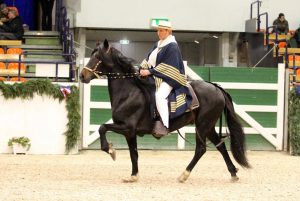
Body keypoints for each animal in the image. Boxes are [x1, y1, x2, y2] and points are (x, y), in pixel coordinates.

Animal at [78, 40, 250, 183]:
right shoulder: (130, 133)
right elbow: (134, 153)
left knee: (201, 149)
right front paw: (133, 175)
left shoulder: (127, 127)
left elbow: (102, 128)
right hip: (208, 127)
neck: (129, 92)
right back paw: (233, 173)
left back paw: (184, 175)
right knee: (220, 146)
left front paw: (110, 150)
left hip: (202, 126)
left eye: (97, 57)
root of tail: (216, 87)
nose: (82, 75)